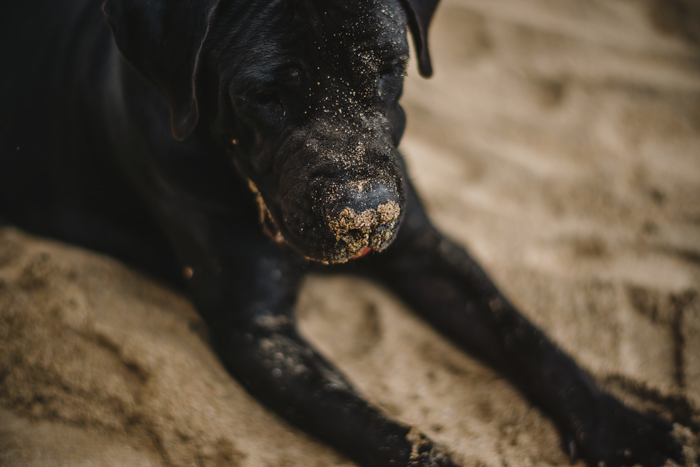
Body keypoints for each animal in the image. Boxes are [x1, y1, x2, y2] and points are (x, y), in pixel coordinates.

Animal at [0, 0, 688, 467]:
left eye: (391, 68)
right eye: (264, 94)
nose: (365, 212)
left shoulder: (424, 249)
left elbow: (526, 335)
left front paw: (622, 429)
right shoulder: (260, 332)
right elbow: (385, 431)